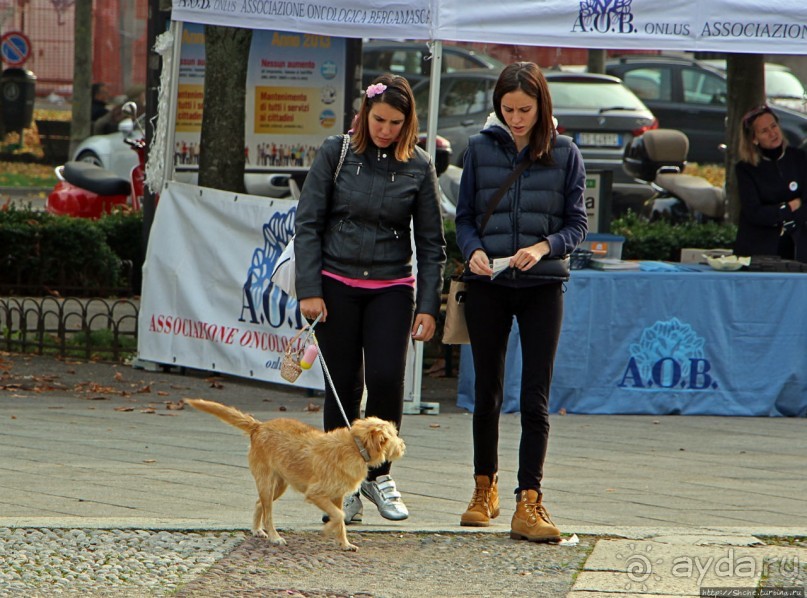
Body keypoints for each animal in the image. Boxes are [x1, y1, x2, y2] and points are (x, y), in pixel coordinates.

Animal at [186, 400, 408, 552]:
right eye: (392, 435)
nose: (403, 446)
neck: (355, 446)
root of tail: (259, 426)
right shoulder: (316, 494)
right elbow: (339, 515)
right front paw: (328, 530)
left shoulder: (337, 496)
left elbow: (340, 519)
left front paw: (344, 543)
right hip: (267, 483)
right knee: (268, 514)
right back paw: (274, 537)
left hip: (278, 485)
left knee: (259, 504)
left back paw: (257, 530)